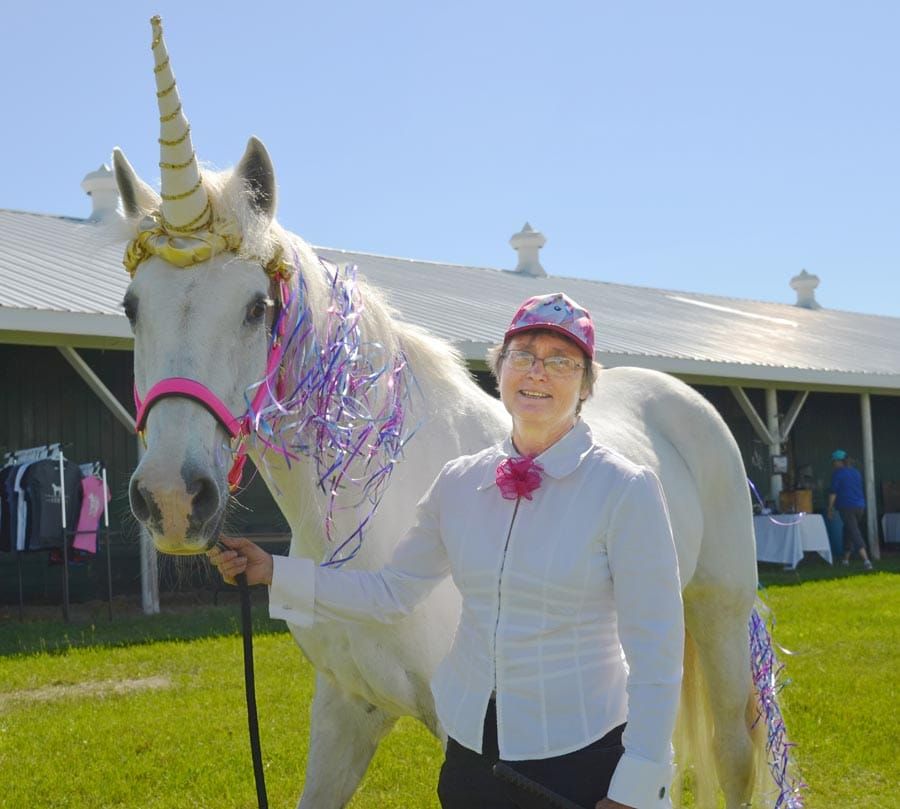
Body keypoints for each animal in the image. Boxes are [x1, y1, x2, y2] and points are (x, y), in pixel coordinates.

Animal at [113, 16, 797, 809]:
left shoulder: (464, 739)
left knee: (732, 753)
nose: (171, 498)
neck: (373, 510)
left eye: (256, 306)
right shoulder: (346, 708)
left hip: (717, 615)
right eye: (131, 307)